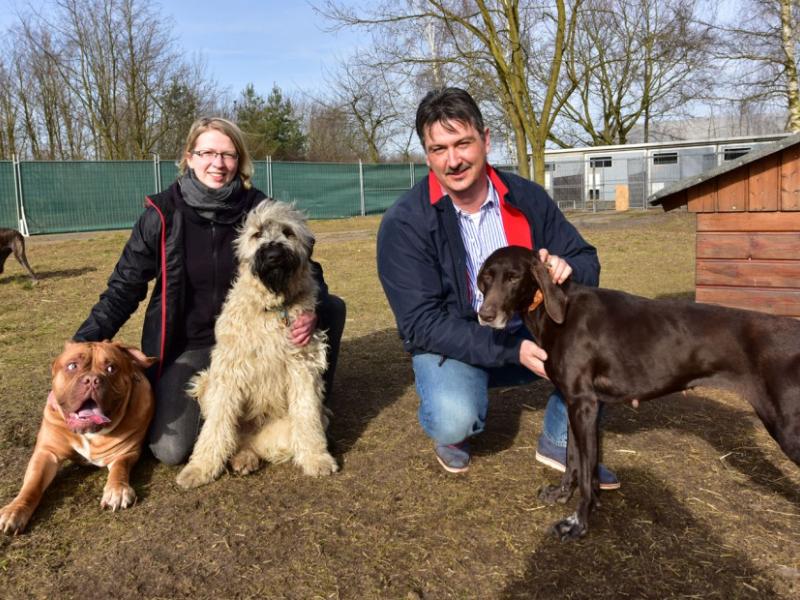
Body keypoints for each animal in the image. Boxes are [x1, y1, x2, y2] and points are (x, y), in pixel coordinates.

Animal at [0, 342, 155, 536]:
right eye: (72, 366)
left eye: (111, 368)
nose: (92, 380)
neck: (90, 433)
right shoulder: (47, 452)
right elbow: (32, 484)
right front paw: (15, 510)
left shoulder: (127, 452)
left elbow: (120, 468)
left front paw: (117, 490)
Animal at [175, 199, 338, 490]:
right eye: (257, 234)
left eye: (287, 232)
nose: (273, 255)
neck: (272, 309)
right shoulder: (227, 373)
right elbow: (216, 426)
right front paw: (200, 468)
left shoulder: (303, 369)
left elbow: (307, 414)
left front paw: (317, 458)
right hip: (205, 382)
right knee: (231, 436)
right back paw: (242, 458)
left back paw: (247, 457)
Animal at [476, 246, 800, 540]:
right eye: (487, 278)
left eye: (514, 277)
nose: (485, 315)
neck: (557, 311)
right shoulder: (575, 404)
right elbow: (572, 458)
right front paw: (561, 494)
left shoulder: (584, 405)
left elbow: (586, 470)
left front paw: (578, 523)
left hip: (788, 430)